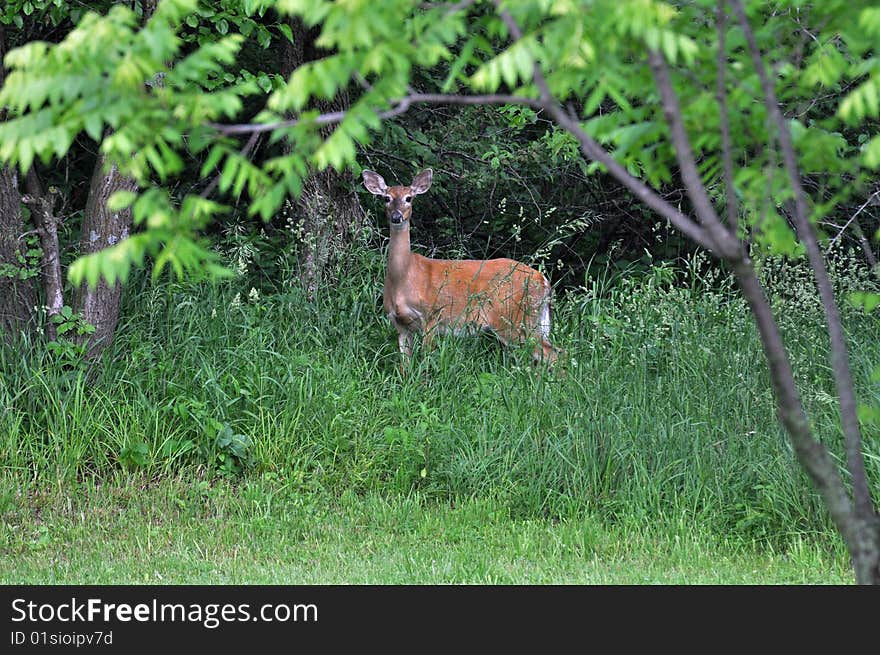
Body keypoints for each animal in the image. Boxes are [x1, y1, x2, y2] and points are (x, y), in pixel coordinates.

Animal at [362, 169, 556, 372]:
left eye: (409, 198)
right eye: (386, 198)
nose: (397, 217)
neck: (404, 277)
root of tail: (543, 280)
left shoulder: (432, 315)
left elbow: (426, 360)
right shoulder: (399, 324)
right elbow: (404, 366)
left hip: (514, 317)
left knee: (554, 354)